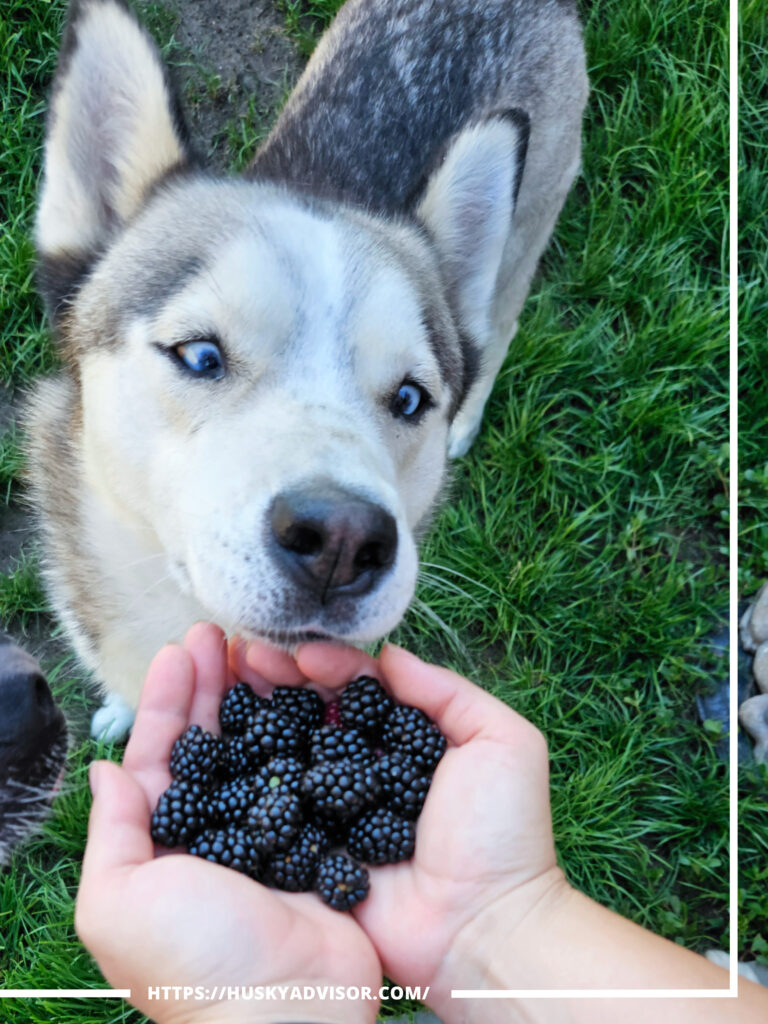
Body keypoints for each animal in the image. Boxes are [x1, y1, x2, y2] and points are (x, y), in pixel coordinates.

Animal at [27, 0, 585, 737]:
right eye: (200, 356)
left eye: (410, 398)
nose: (343, 541)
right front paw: (123, 709)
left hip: (526, 237)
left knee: (500, 330)